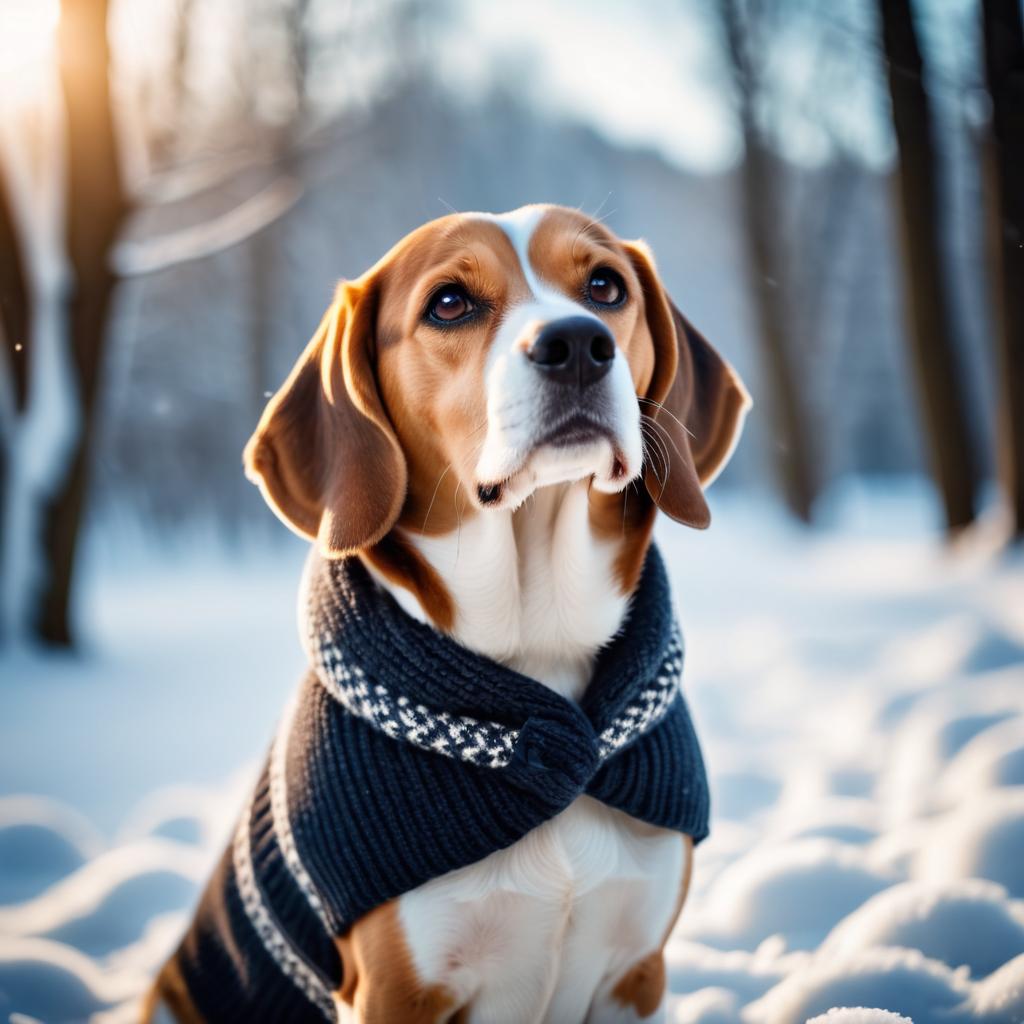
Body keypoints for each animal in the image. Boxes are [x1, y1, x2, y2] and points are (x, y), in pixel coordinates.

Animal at [146, 203, 753, 1019]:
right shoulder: (395, 992)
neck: (537, 651)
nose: (577, 345)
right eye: (449, 303)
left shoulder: (637, 974)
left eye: (605, 286)